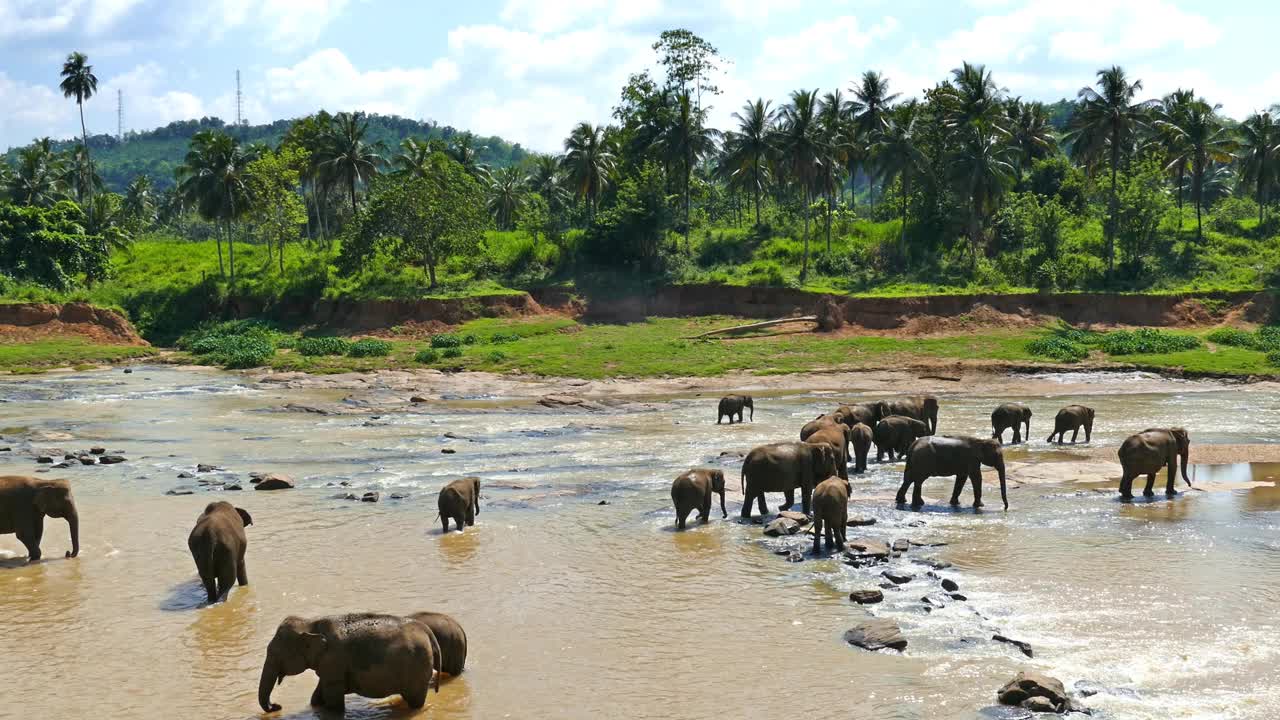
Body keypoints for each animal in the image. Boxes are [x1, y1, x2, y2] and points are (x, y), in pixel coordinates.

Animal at [259, 609, 440, 712]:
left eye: (275, 654)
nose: (276, 706)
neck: (310, 623)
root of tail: (427, 631)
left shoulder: (333, 660)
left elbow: (333, 701)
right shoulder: (328, 665)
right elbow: (318, 695)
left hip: (418, 668)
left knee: (415, 701)